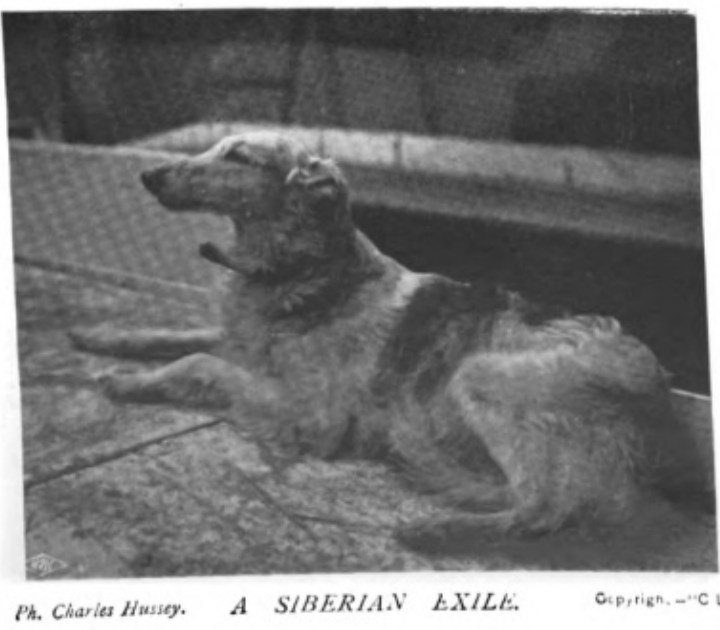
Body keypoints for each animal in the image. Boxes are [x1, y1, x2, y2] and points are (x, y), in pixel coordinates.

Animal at [70, 132, 713, 560]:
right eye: (213, 147)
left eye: (238, 158)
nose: (148, 176)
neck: (298, 268)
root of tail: (653, 384)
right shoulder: (242, 341)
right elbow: (175, 335)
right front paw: (104, 340)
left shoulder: (315, 414)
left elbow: (197, 359)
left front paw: (127, 382)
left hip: (479, 375)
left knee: (544, 509)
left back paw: (436, 529)